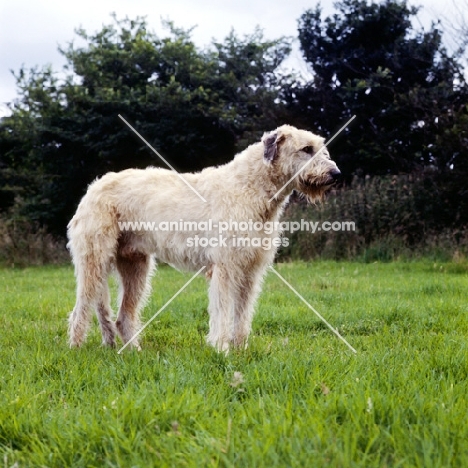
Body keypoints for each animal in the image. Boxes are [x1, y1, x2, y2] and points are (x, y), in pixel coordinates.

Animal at [66, 124, 340, 352]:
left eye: (322, 148)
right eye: (306, 149)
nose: (336, 173)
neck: (250, 188)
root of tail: (93, 187)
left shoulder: (250, 270)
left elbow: (243, 313)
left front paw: (241, 349)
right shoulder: (225, 267)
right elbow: (222, 310)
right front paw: (221, 349)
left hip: (135, 265)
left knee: (122, 316)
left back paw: (132, 351)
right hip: (94, 260)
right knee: (81, 308)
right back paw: (76, 349)